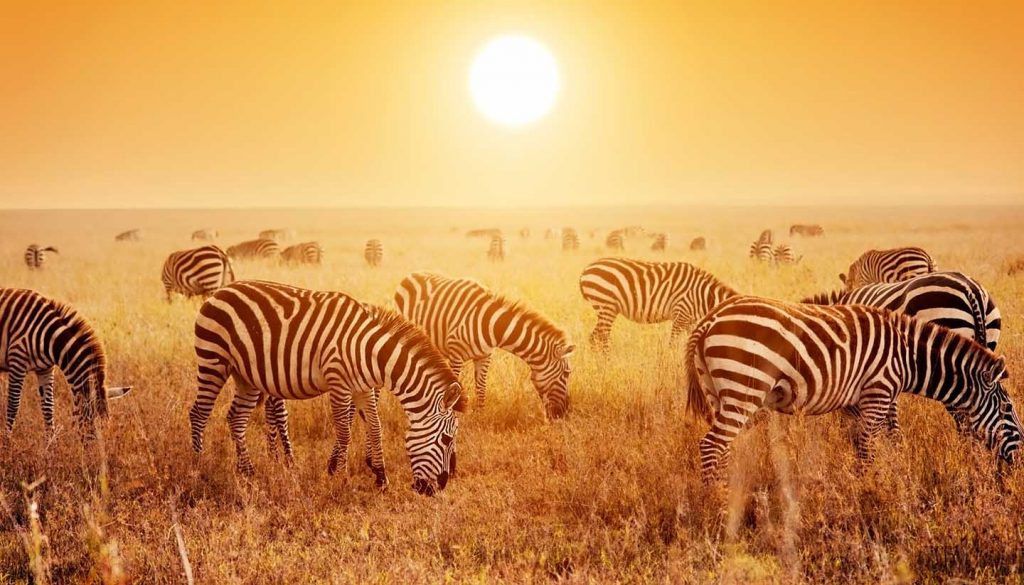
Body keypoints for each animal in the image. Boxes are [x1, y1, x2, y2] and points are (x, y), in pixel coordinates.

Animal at [1, 288, 131, 436]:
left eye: (106, 426)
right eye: (91, 423)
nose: (100, 445)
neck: (50, 337)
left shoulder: (45, 369)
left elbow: (48, 408)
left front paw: (50, 442)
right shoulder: (17, 362)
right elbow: (13, 406)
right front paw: (6, 441)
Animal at [189, 280, 466, 495]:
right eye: (446, 439)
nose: (436, 489)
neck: (369, 351)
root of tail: (221, 291)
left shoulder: (363, 388)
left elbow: (375, 428)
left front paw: (380, 478)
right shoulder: (338, 383)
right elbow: (344, 432)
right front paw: (341, 479)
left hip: (246, 375)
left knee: (236, 418)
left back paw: (247, 472)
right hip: (213, 360)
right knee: (199, 414)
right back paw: (198, 468)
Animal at [395, 272, 574, 418]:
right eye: (566, 373)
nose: (565, 413)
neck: (491, 325)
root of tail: (411, 274)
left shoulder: (484, 356)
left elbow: (481, 387)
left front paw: (481, 415)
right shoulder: (456, 355)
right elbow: (455, 386)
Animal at [579, 258, 738, 351]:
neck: (704, 296)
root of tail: (586, 269)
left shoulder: (691, 321)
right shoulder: (681, 315)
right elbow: (672, 345)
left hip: (605, 308)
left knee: (594, 337)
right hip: (607, 306)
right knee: (602, 337)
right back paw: (607, 364)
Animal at [686, 296, 1021, 482]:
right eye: (1008, 410)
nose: (1018, 463)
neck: (907, 356)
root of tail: (711, 318)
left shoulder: (855, 400)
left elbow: (863, 442)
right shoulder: (879, 391)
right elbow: (869, 447)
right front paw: (870, 491)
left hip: (719, 391)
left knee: (722, 448)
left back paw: (726, 492)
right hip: (744, 387)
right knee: (711, 445)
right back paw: (716, 502)